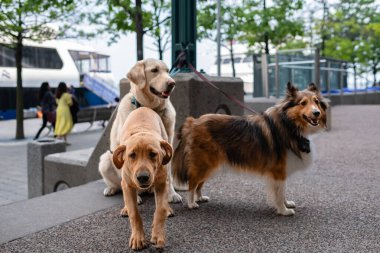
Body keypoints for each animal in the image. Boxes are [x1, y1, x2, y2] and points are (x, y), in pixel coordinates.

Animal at [98, 57, 181, 204]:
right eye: (154, 70)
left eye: (167, 71)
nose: (172, 83)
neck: (149, 108)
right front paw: (133, 198)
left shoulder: (167, 145)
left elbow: (168, 175)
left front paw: (172, 194)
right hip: (106, 160)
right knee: (116, 184)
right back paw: (111, 189)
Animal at [112, 106, 173, 249]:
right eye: (132, 155)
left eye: (153, 154)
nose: (142, 177)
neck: (142, 131)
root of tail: (143, 108)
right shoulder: (127, 185)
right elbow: (134, 213)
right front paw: (137, 238)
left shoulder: (162, 183)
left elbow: (160, 209)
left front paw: (158, 235)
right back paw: (125, 208)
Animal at [172, 82, 326, 215]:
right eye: (303, 103)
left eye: (316, 101)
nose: (316, 113)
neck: (288, 124)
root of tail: (192, 122)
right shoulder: (278, 170)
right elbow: (279, 192)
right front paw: (284, 211)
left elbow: (282, 191)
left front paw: (286, 204)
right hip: (204, 163)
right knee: (192, 183)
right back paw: (191, 203)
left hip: (210, 165)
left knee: (199, 184)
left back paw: (200, 198)